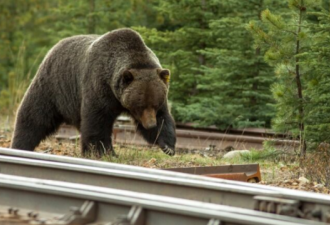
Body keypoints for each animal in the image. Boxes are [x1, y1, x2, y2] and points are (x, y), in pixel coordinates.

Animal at [10, 28, 177, 156]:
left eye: (154, 104)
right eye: (140, 105)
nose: (150, 125)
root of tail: (55, 46)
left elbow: (164, 118)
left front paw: (168, 146)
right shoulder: (98, 85)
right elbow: (97, 121)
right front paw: (102, 152)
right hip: (54, 85)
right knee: (35, 116)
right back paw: (20, 145)